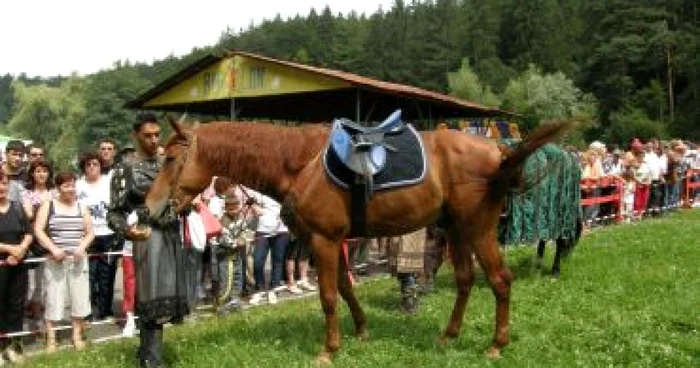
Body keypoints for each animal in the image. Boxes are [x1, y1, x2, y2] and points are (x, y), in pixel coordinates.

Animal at [145, 118, 568, 362]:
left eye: (171, 159)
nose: (149, 209)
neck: (299, 162)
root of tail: (499, 151)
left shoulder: (324, 241)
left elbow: (329, 297)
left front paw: (329, 350)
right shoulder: (329, 242)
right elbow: (346, 288)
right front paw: (361, 330)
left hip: (478, 230)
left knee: (500, 281)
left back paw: (496, 345)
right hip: (457, 230)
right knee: (465, 280)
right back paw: (448, 336)